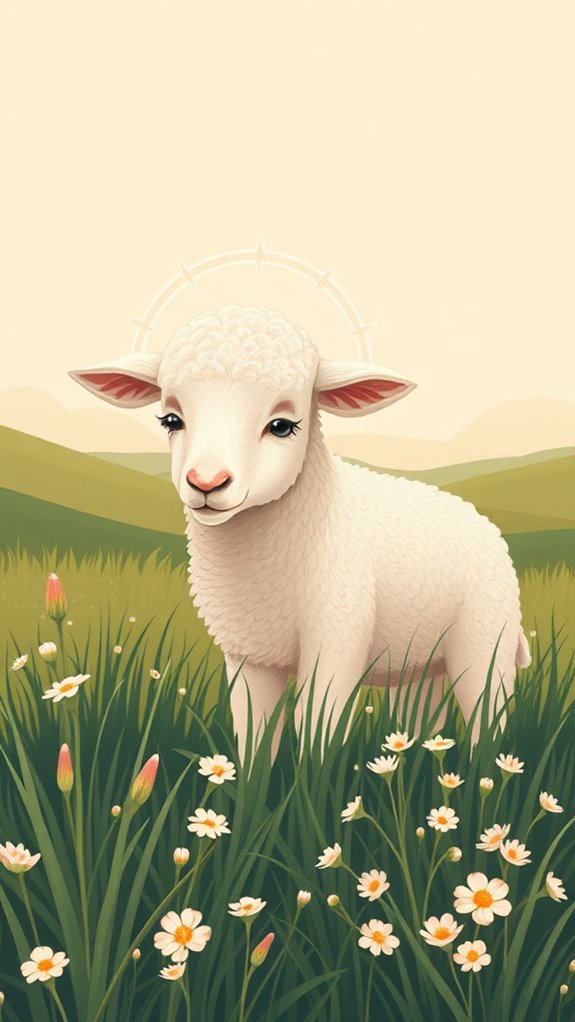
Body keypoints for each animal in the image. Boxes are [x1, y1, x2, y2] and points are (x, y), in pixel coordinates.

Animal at [70, 303, 531, 759]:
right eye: (170, 419)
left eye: (282, 426)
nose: (206, 482)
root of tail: (480, 519)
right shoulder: (249, 654)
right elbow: (253, 739)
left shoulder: (336, 638)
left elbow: (316, 732)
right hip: (419, 661)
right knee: (421, 718)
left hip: (485, 638)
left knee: (487, 716)